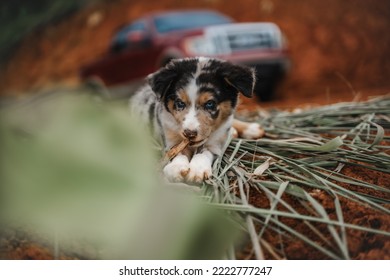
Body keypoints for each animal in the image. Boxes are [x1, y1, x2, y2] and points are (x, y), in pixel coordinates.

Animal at [130, 57, 262, 184]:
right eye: (180, 103)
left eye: (210, 104)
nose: (189, 134)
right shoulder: (169, 138)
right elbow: (177, 151)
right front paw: (176, 167)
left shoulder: (215, 143)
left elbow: (204, 153)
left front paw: (197, 170)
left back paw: (251, 129)